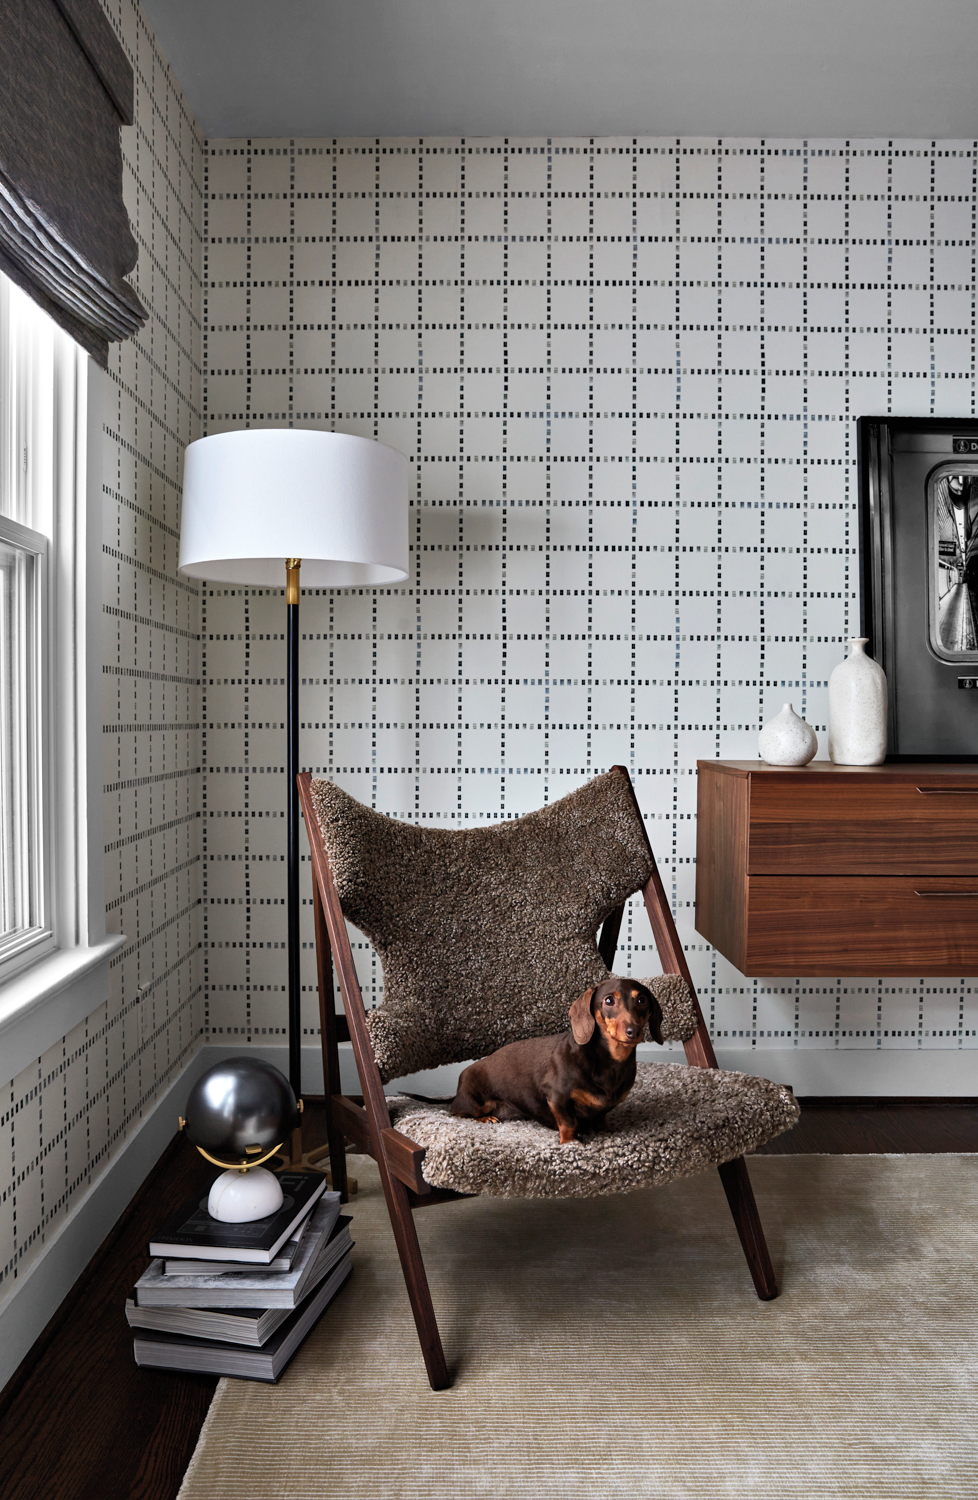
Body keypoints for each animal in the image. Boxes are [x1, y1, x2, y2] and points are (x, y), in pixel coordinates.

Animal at [447, 978, 660, 1140]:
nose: (634, 1032)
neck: (610, 1061)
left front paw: (607, 1129)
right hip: (476, 1104)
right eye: (608, 1001)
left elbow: (601, 1118)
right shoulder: (556, 1097)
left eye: (642, 1000)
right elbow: (569, 1123)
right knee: (457, 1112)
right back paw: (484, 1118)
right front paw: (570, 1143)